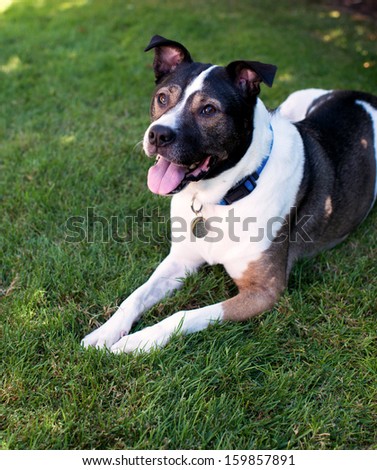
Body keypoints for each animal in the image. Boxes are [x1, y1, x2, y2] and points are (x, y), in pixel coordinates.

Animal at [81, 35, 374, 352]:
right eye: (162, 98)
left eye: (209, 110)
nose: (157, 135)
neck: (222, 195)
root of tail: (363, 96)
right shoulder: (181, 259)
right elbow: (136, 295)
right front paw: (106, 332)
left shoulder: (264, 291)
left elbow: (182, 315)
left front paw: (136, 343)